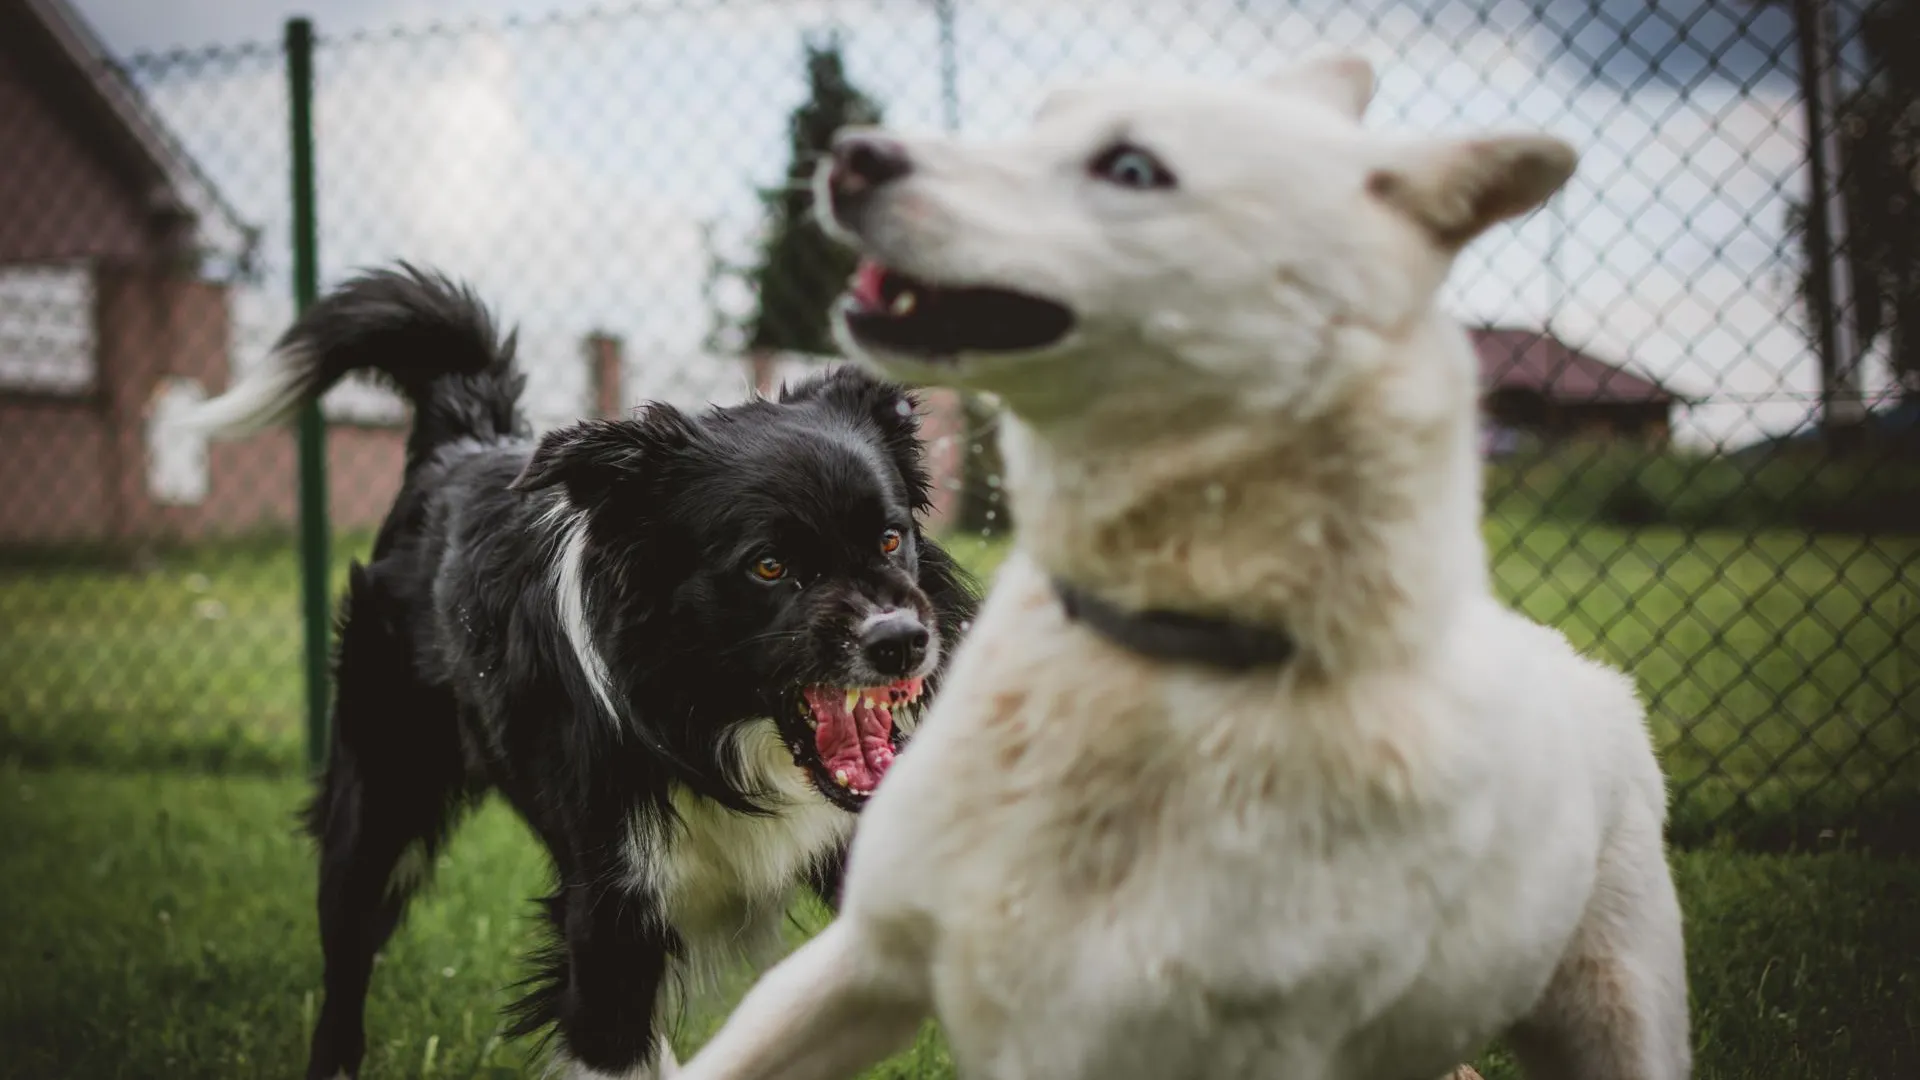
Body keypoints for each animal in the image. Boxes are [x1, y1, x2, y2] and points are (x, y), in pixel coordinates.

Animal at [183, 263, 975, 1076]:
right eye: (769, 565)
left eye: (889, 539)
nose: (902, 641)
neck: (714, 731)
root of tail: (463, 442)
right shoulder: (610, 915)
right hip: (378, 799)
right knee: (346, 962)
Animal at [679, 54, 1697, 1076]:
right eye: (1042, 118)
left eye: (1132, 168)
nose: (851, 155)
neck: (1154, 666)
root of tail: (1582, 667)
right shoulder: (866, 958)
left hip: (1616, 1015)